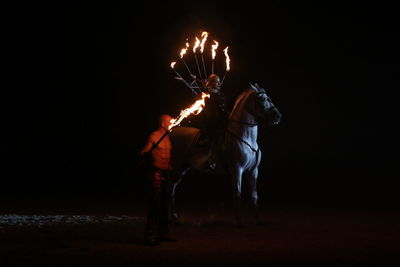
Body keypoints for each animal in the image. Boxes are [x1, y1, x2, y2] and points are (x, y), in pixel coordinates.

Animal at [169, 83, 282, 224]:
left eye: (268, 98)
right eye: (261, 99)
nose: (277, 116)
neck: (244, 137)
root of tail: (172, 133)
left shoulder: (254, 170)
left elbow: (254, 195)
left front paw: (258, 219)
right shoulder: (237, 169)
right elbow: (237, 193)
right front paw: (238, 220)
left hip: (183, 168)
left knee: (173, 187)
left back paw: (174, 216)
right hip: (176, 167)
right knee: (169, 188)